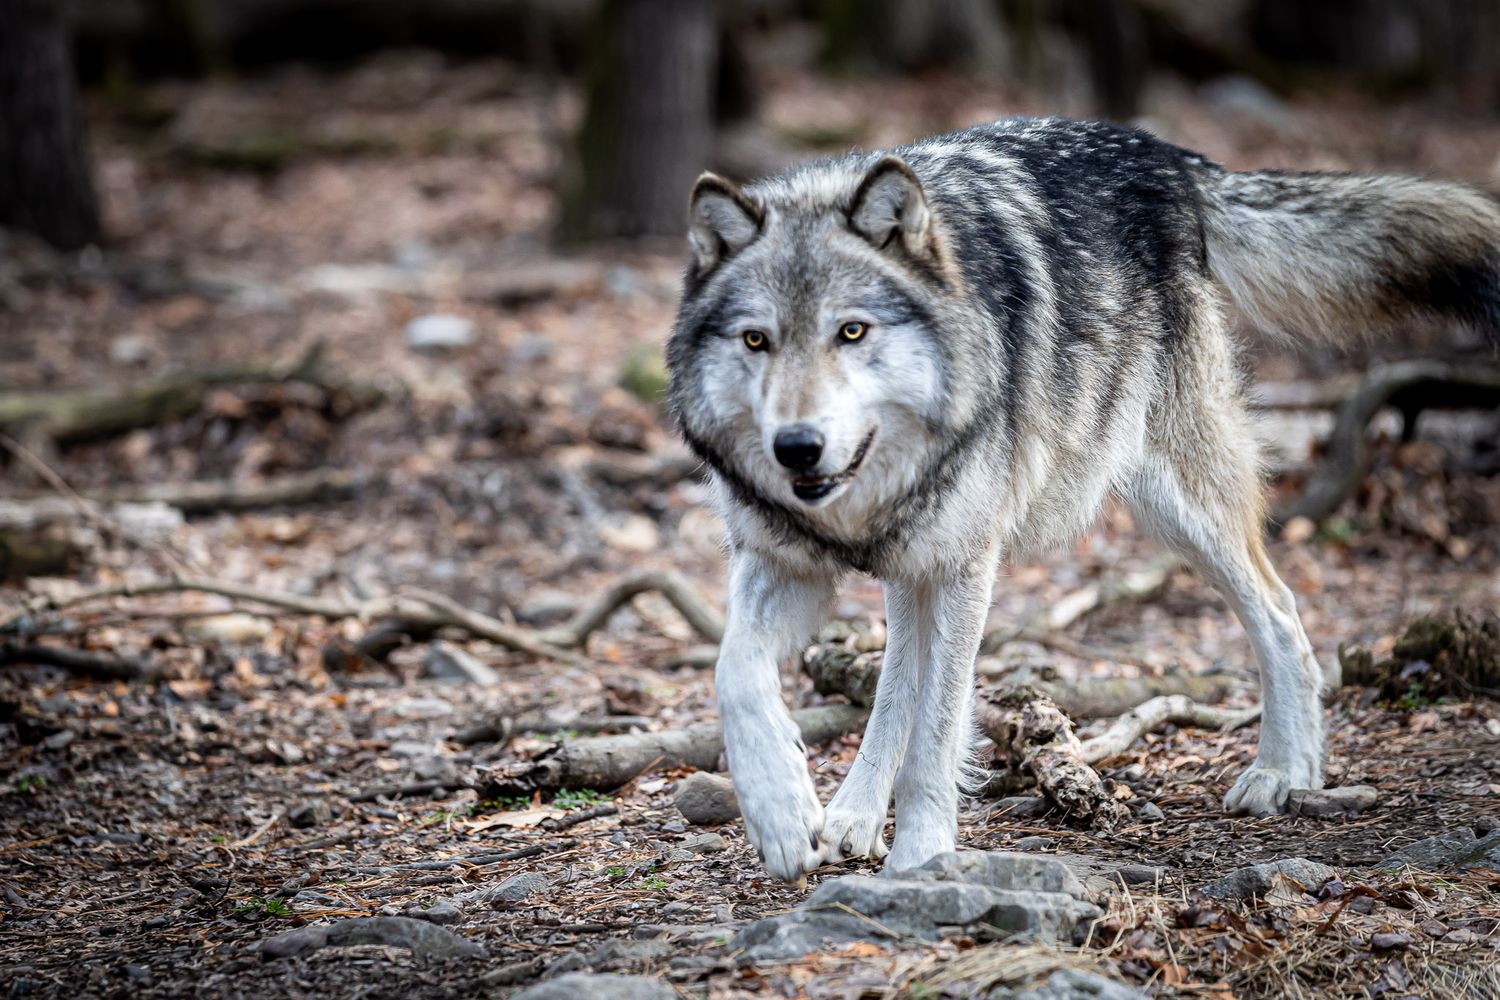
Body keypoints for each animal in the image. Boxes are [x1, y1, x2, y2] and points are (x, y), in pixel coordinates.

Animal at [665, 116, 1500, 882]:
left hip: (1171, 506)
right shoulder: (788, 559)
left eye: (851, 332)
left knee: (1281, 608)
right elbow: (733, 669)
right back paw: (852, 816)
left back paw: (1283, 771)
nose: (796, 447)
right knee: (897, 673)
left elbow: (937, 733)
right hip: (935, 554)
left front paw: (922, 859)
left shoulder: (967, 567)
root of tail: (1167, 155)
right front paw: (781, 814)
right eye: (756, 340)